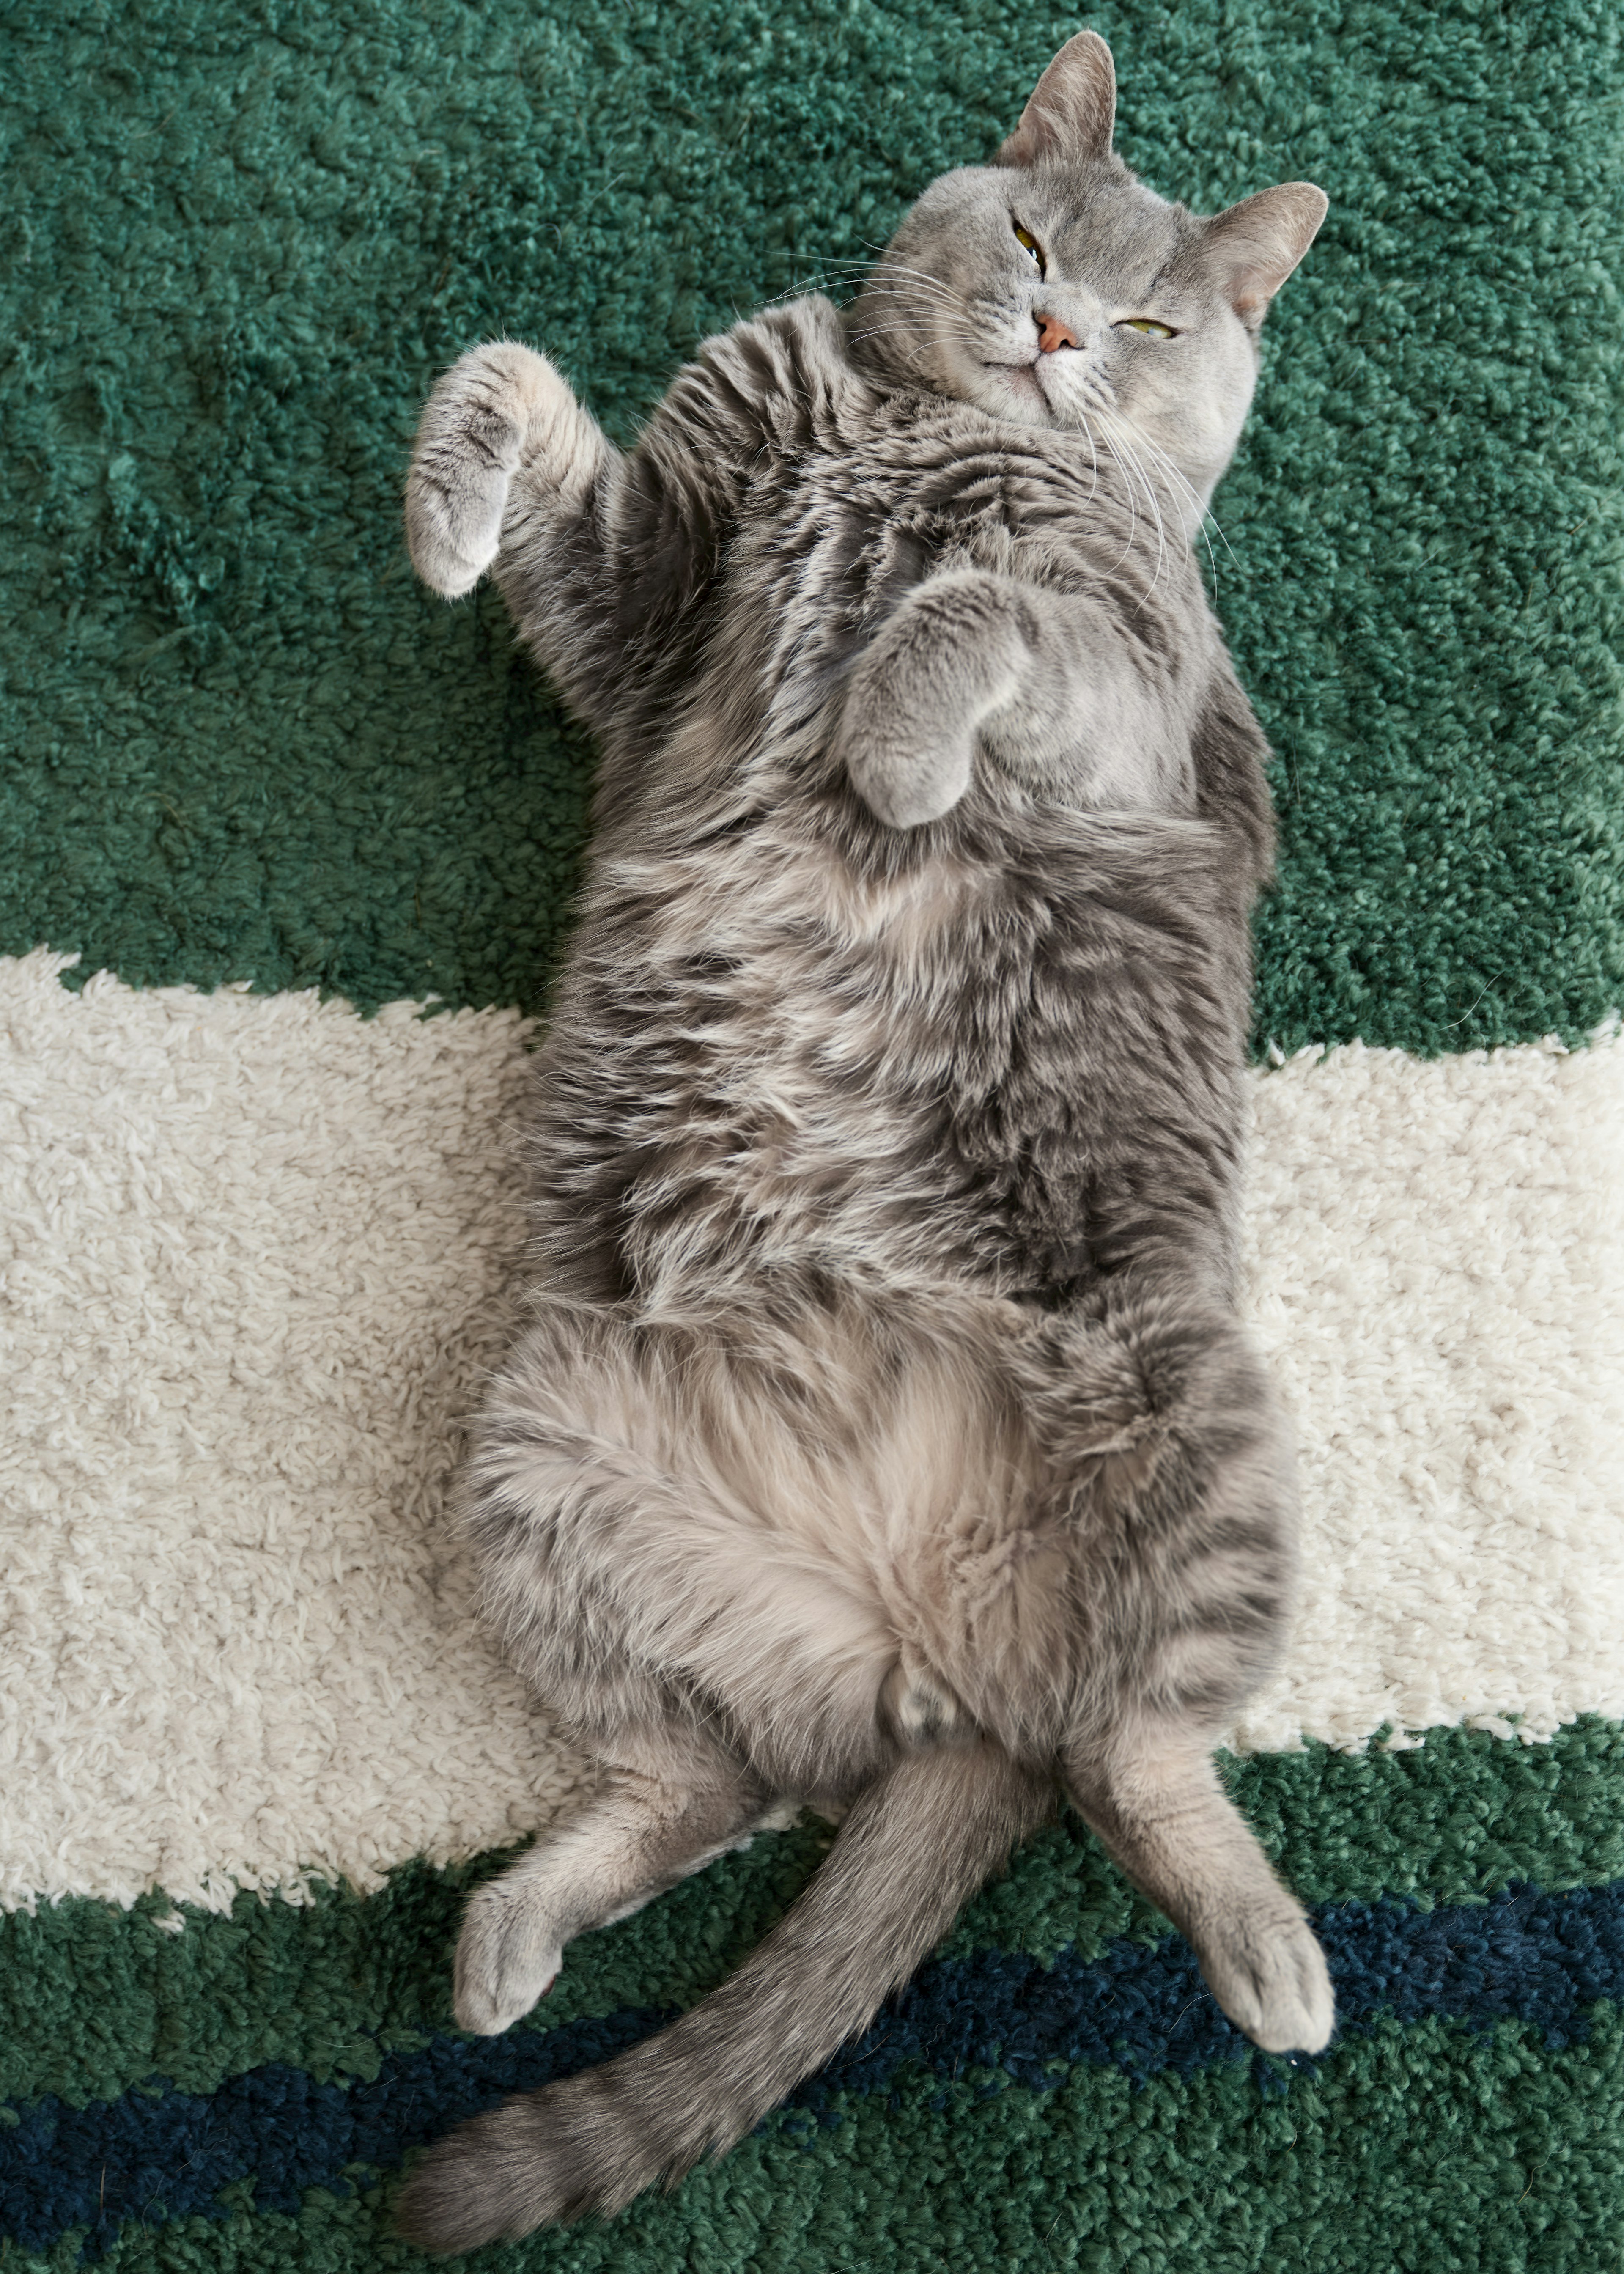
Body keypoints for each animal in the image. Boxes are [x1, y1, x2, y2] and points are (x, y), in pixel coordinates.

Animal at [395, 36, 1328, 2255]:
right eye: (1035, 245)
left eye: (1153, 326)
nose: (1063, 337)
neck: (922, 427)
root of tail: (939, 1649)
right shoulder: (651, 588)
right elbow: (502, 374)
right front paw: (448, 515)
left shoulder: (1117, 666)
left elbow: (977, 609)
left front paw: (896, 752)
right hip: (543, 1465)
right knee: (718, 1787)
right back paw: (512, 1937)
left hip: (1195, 1411)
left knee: (1130, 1753)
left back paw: (1273, 1962)